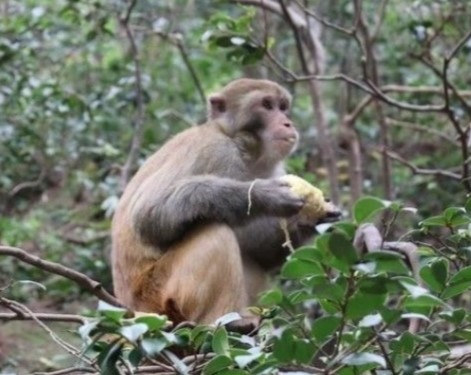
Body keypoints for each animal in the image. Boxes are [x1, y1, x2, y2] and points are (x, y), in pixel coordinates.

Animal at [110, 78, 340, 330]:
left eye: (282, 107)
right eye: (267, 105)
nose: (287, 123)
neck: (241, 145)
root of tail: (131, 308)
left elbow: (260, 253)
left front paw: (314, 217)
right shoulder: (215, 150)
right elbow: (147, 217)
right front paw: (264, 194)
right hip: (158, 293)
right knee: (216, 231)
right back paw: (230, 322)